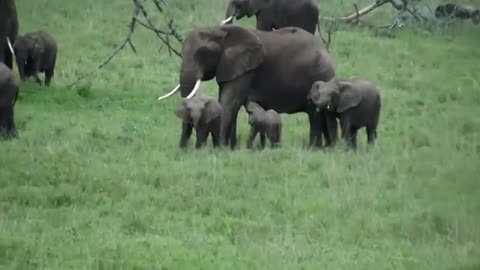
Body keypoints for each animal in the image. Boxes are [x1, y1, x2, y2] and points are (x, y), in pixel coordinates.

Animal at [158, 24, 338, 150]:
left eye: (202, 53)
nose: (183, 149)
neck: (218, 30)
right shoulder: (230, 67)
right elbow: (229, 103)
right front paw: (231, 148)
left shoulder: (247, 69)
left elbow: (229, 102)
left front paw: (221, 149)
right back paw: (326, 147)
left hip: (318, 75)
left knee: (314, 116)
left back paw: (314, 148)